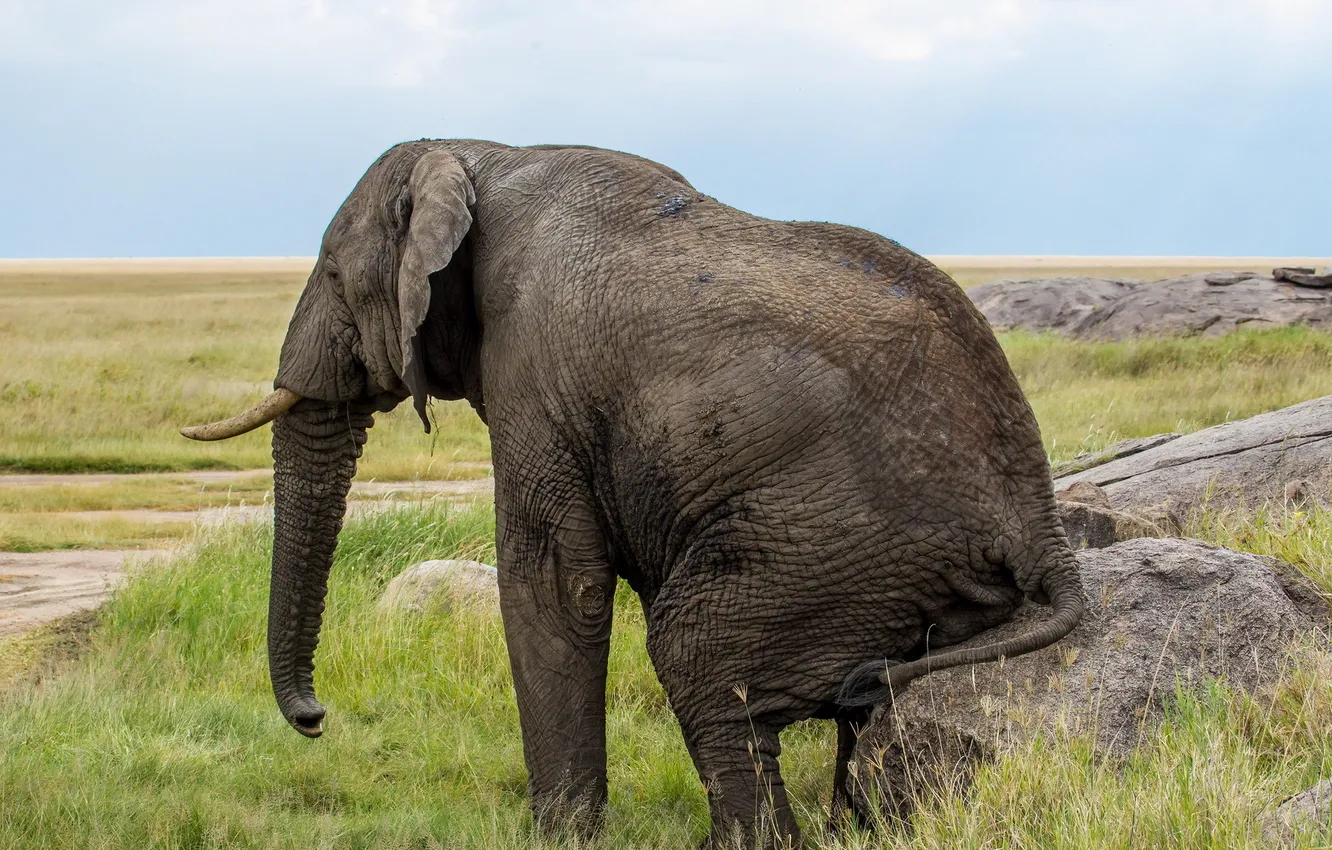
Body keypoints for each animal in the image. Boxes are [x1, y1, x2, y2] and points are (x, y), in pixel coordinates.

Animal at [182, 139, 1084, 848]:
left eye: (335, 274)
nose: (315, 718)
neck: (480, 155)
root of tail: (1043, 526)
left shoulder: (534, 363)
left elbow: (553, 577)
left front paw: (561, 837)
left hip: (839, 543)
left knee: (696, 649)